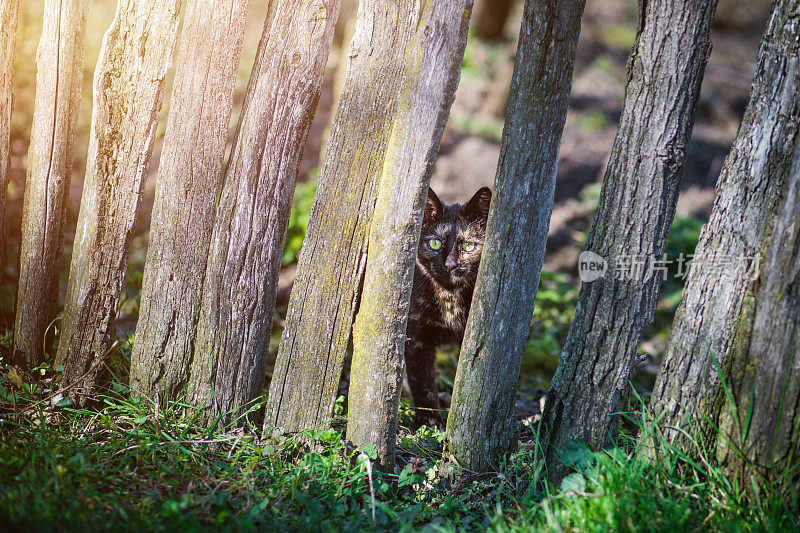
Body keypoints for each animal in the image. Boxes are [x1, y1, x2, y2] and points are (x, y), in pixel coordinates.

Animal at [410, 187, 490, 428]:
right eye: (435, 243)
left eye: (468, 245)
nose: (450, 264)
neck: (449, 297)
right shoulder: (416, 335)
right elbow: (423, 384)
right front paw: (428, 424)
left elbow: (466, 379)